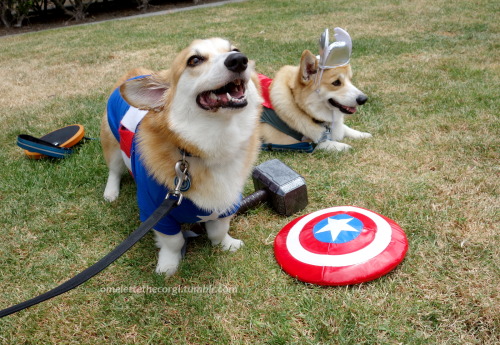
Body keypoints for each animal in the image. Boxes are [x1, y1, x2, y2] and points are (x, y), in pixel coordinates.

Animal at [98, 37, 262, 274]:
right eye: (194, 60)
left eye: (235, 49)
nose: (239, 60)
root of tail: (134, 72)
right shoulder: (155, 212)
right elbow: (173, 241)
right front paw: (168, 266)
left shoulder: (227, 203)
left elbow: (219, 229)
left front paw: (227, 244)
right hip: (112, 144)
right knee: (114, 170)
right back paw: (111, 192)